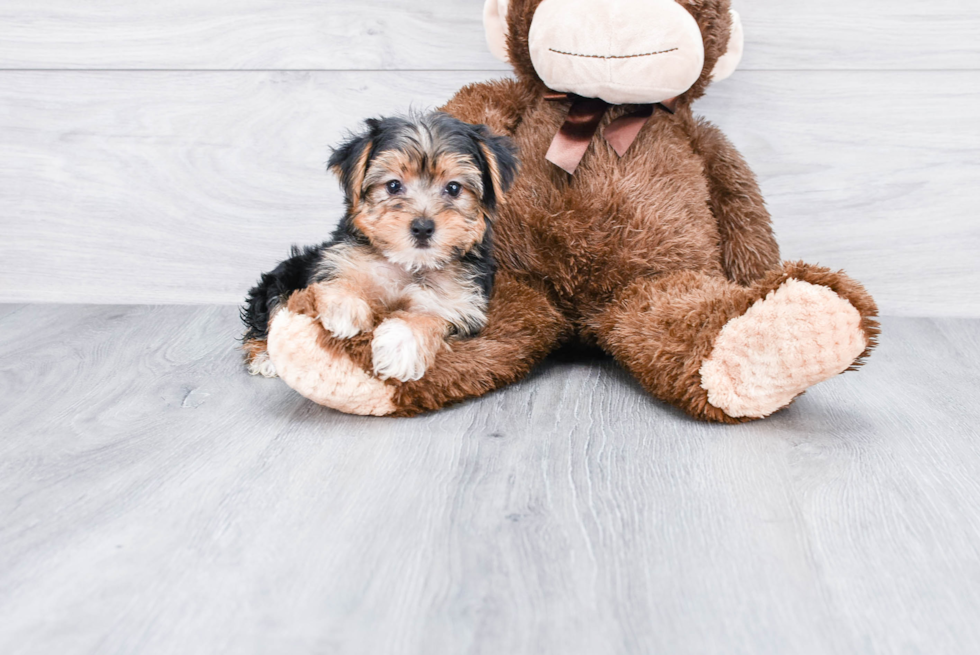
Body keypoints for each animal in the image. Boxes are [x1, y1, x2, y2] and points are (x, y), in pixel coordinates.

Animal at [243, 111, 520, 382]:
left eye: (453, 188)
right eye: (393, 185)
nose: (422, 227)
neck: (409, 263)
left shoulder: (460, 304)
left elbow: (429, 316)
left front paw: (399, 344)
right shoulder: (339, 259)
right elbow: (339, 279)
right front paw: (344, 308)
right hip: (283, 276)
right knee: (272, 309)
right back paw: (267, 357)